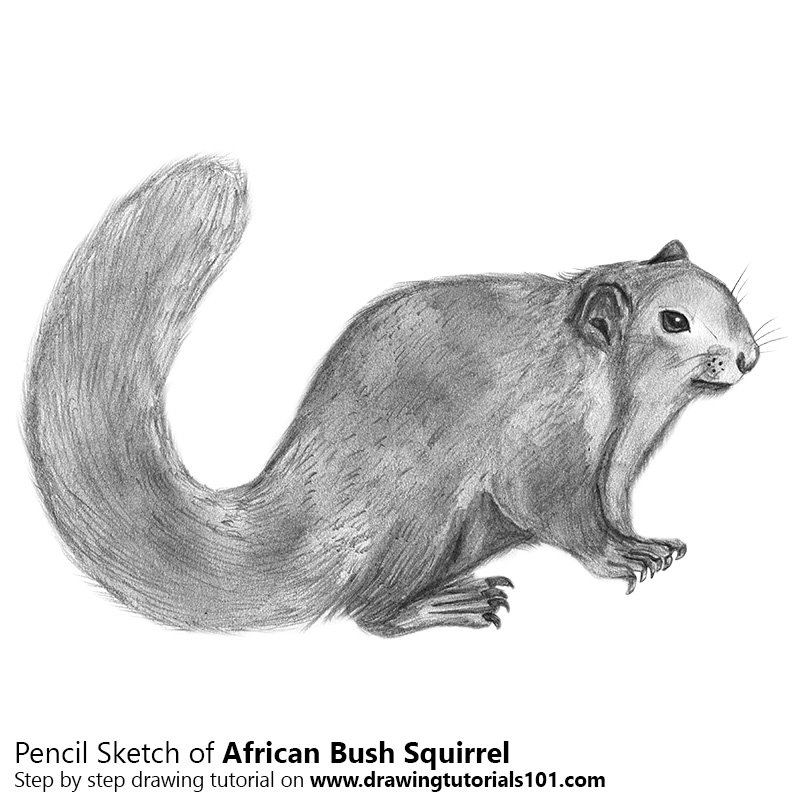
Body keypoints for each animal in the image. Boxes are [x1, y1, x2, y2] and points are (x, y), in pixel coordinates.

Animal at [24, 156, 760, 636]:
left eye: (727, 294)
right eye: (674, 321)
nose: (748, 357)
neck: (623, 409)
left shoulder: (616, 462)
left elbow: (613, 505)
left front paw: (647, 542)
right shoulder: (543, 436)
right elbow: (559, 513)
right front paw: (624, 558)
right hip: (424, 515)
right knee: (366, 613)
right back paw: (446, 605)